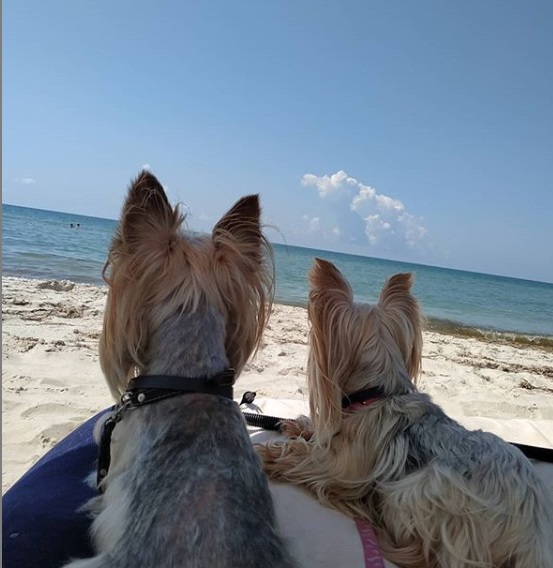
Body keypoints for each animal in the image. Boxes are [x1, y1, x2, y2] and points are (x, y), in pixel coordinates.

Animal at [258, 258, 552, 568]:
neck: (378, 393)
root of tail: (533, 541)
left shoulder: (342, 467)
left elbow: (305, 457)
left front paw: (266, 453)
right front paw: (300, 426)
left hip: (421, 490)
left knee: (426, 551)